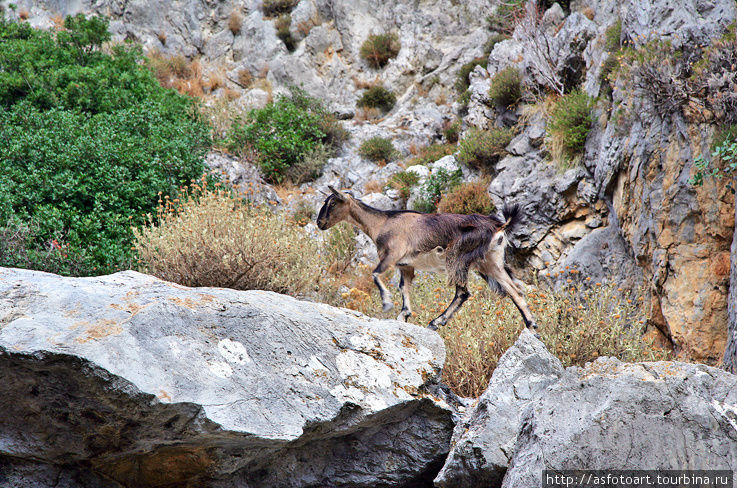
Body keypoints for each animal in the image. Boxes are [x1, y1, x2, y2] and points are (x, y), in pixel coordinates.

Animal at [314, 187, 536, 332]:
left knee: (463, 292)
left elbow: (375, 274)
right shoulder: (405, 265)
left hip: (458, 257)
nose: (320, 223)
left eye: (332, 202)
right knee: (514, 290)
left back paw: (436, 322)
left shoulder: (391, 255)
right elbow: (403, 287)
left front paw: (387, 304)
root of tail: (498, 226)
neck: (382, 223)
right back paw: (532, 325)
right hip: (490, 262)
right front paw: (403, 315)